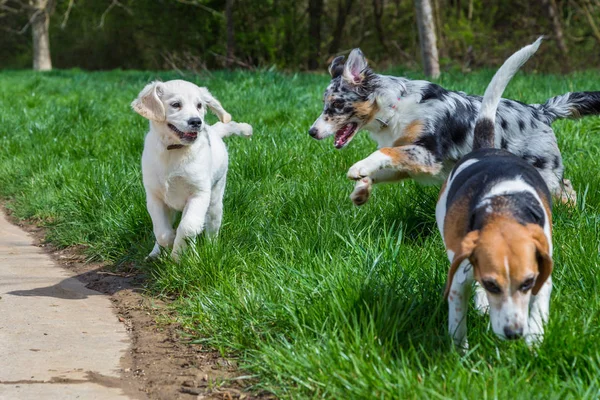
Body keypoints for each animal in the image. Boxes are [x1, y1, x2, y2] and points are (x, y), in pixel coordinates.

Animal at [132, 79, 252, 260]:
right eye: (176, 104)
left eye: (199, 105)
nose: (196, 122)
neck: (174, 150)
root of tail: (213, 130)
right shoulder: (154, 196)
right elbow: (162, 232)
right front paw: (169, 243)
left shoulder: (199, 194)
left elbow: (187, 228)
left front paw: (178, 253)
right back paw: (155, 253)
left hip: (215, 201)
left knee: (210, 230)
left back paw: (207, 251)